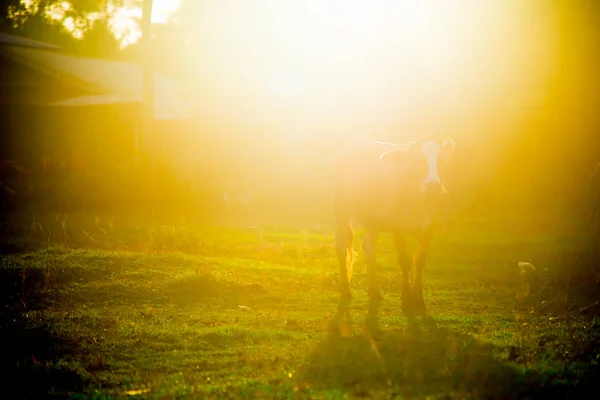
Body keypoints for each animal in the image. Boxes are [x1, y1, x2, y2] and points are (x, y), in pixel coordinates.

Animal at [332, 137, 454, 318]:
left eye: (442, 161)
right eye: (417, 160)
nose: (433, 185)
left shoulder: (429, 227)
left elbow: (419, 260)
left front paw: (418, 297)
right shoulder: (398, 228)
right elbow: (405, 261)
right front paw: (406, 296)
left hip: (373, 220)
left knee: (369, 250)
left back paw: (374, 291)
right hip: (341, 210)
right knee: (341, 248)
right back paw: (346, 290)